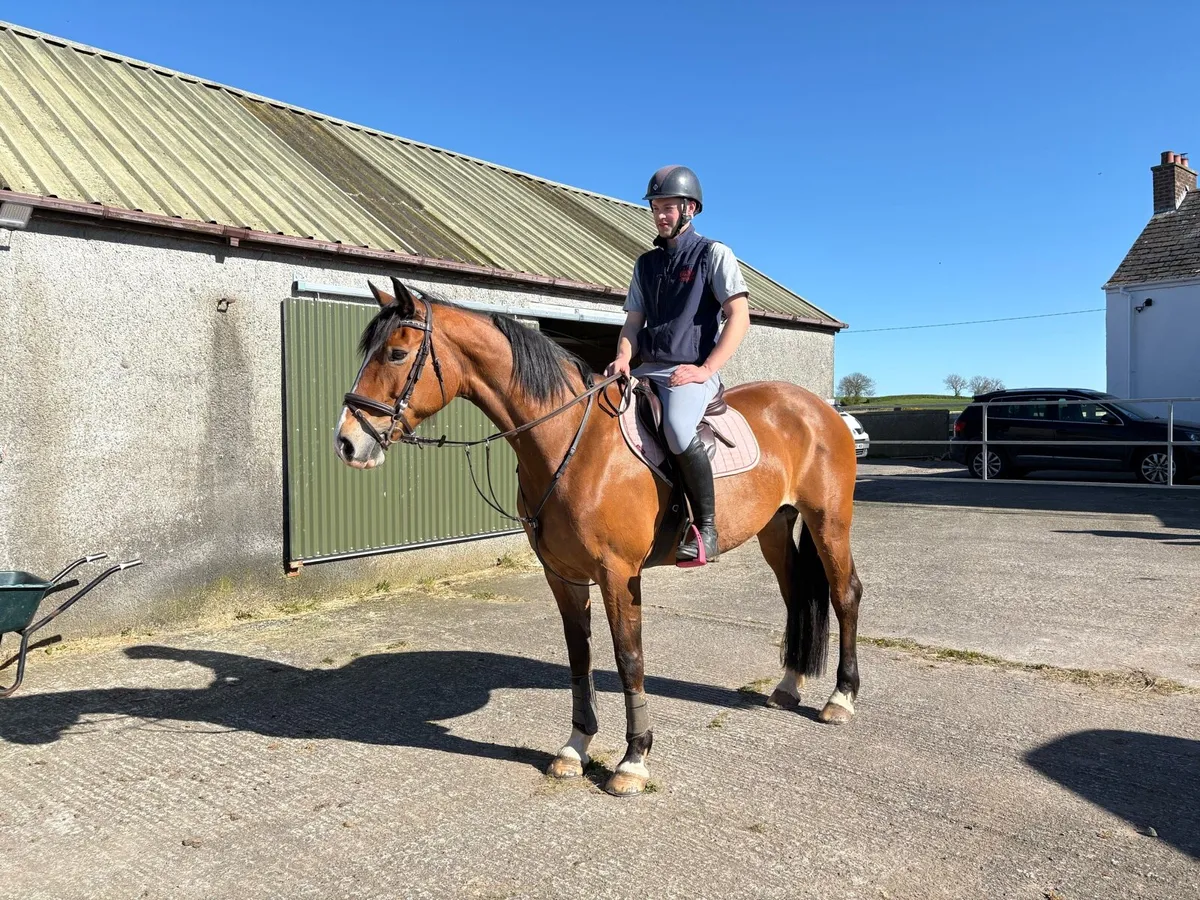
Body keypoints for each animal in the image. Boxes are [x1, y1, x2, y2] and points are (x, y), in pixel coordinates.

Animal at [335, 277, 864, 797]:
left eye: (396, 354)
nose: (347, 443)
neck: (573, 439)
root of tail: (819, 407)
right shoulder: (562, 576)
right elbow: (580, 655)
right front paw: (575, 747)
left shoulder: (618, 574)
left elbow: (629, 658)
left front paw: (633, 761)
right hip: (775, 528)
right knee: (795, 594)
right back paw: (788, 686)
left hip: (829, 523)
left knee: (844, 595)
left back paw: (840, 698)